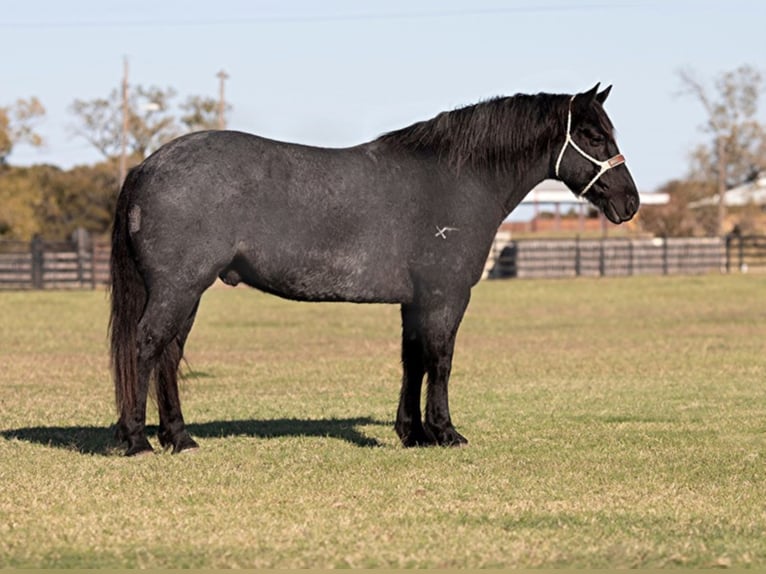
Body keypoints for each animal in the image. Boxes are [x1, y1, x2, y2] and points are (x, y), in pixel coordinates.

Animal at [109, 82, 640, 460]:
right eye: (593, 135)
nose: (629, 202)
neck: (454, 179)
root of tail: (146, 166)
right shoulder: (446, 294)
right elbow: (440, 360)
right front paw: (445, 432)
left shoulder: (417, 299)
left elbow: (413, 359)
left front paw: (413, 433)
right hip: (177, 289)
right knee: (146, 346)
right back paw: (137, 440)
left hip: (187, 293)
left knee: (169, 354)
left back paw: (180, 439)